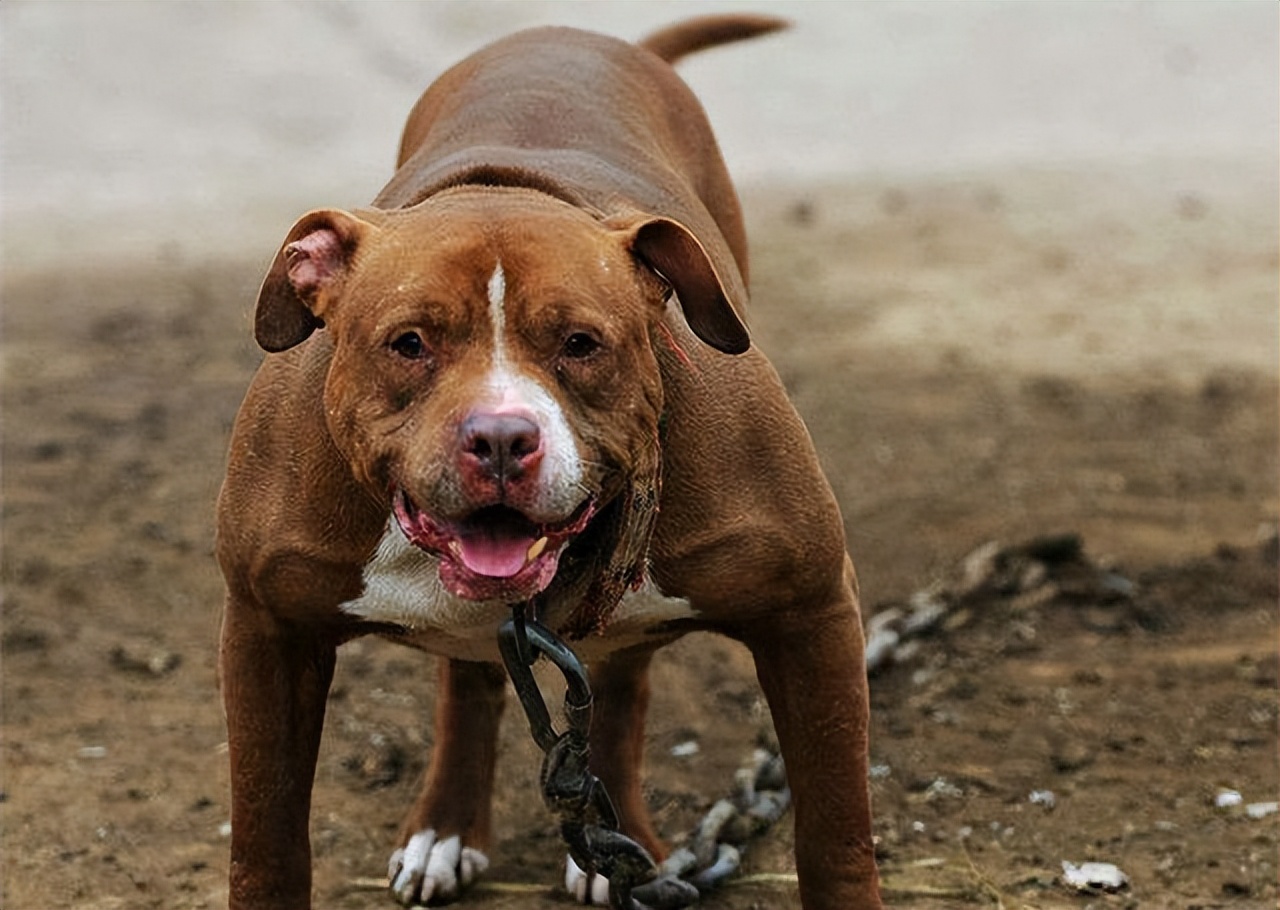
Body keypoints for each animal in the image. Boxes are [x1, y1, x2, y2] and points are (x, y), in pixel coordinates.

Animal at [217, 14, 880, 910]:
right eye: (409, 343)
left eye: (581, 343)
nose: (501, 438)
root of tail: (585, 34)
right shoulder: (265, 628)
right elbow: (267, 838)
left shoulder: (813, 613)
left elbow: (836, 832)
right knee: (469, 679)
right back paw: (446, 829)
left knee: (623, 681)